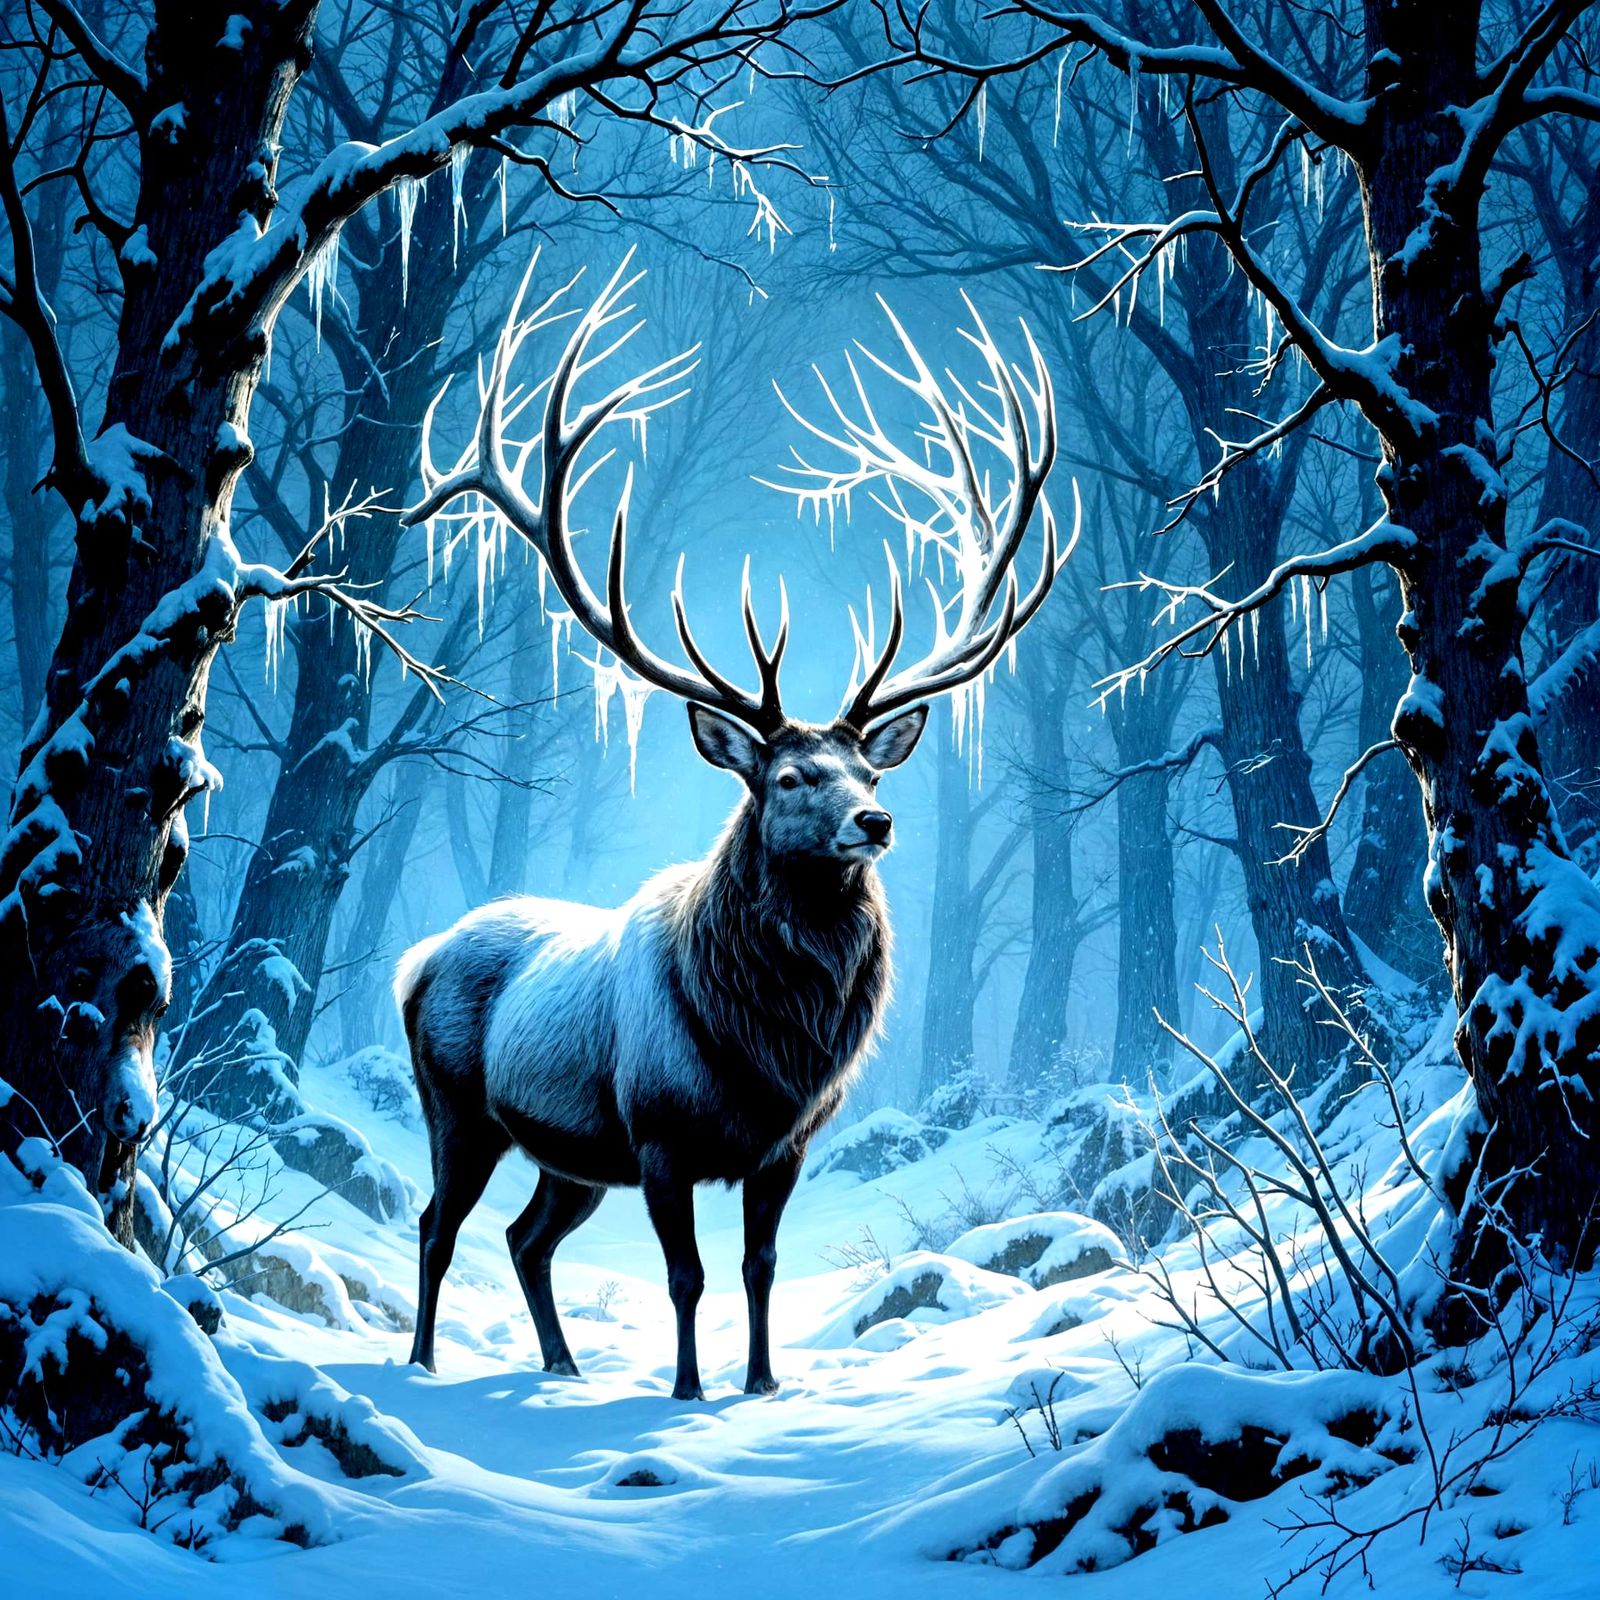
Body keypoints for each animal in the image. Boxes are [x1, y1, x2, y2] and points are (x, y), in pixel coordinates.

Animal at [394, 257, 1070, 1400]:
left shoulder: (783, 1147)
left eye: (867, 767)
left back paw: (563, 1366)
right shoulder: (662, 1134)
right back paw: (424, 1361)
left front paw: (760, 1384)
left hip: (572, 1157)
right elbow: (686, 1275)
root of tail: (418, 957)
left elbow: (758, 1268)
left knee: (528, 1238)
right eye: (791, 776)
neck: (768, 1045)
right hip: (461, 1111)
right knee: (439, 1224)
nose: (876, 819)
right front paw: (686, 1390)